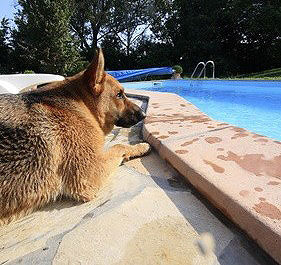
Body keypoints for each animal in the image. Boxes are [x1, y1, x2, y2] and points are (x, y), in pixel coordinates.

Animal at [0, 48, 151, 224]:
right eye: (119, 94)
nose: (144, 115)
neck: (81, 105)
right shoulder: (89, 176)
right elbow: (118, 146)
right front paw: (140, 147)